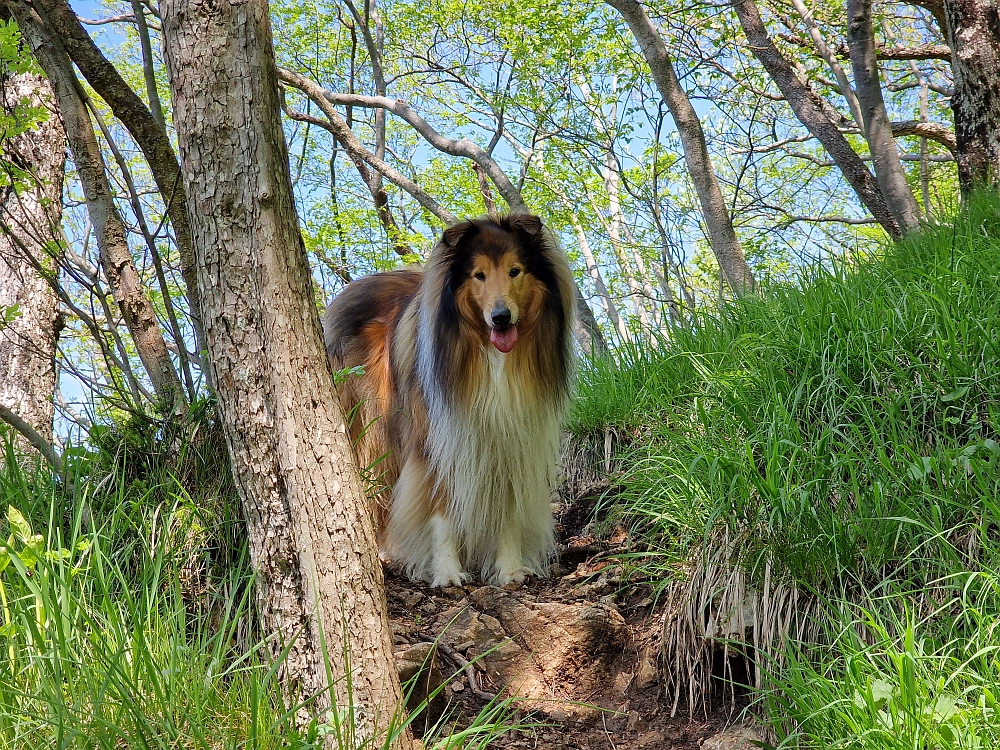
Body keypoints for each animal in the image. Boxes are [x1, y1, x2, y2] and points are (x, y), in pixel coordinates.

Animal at [324, 214, 576, 592]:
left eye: (515, 271)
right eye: (479, 274)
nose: (501, 317)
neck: (489, 355)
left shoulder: (512, 439)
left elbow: (507, 508)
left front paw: (509, 569)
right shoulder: (436, 439)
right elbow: (440, 511)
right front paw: (446, 571)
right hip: (370, 429)